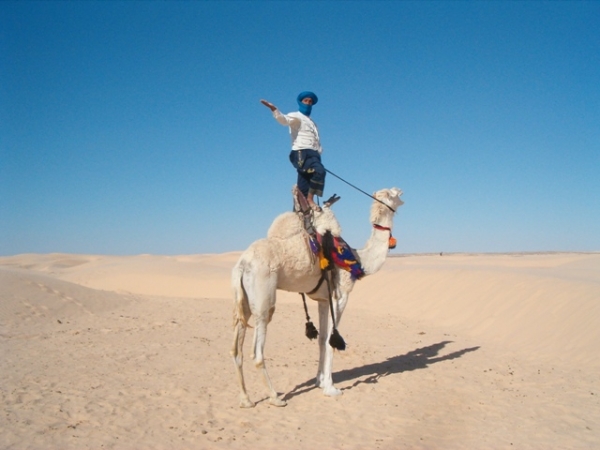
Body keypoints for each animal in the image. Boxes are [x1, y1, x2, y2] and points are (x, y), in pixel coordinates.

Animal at [230, 186, 404, 408]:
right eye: (393, 193)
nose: (402, 191)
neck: (359, 259)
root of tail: (242, 264)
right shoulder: (340, 296)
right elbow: (331, 340)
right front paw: (331, 388)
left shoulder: (323, 300)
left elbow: (321, 339)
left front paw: (319, 381)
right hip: (263, 299)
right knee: (257, 351)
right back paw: (275, 397)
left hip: (243, 301)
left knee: (237, 348)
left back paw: (246, 399)